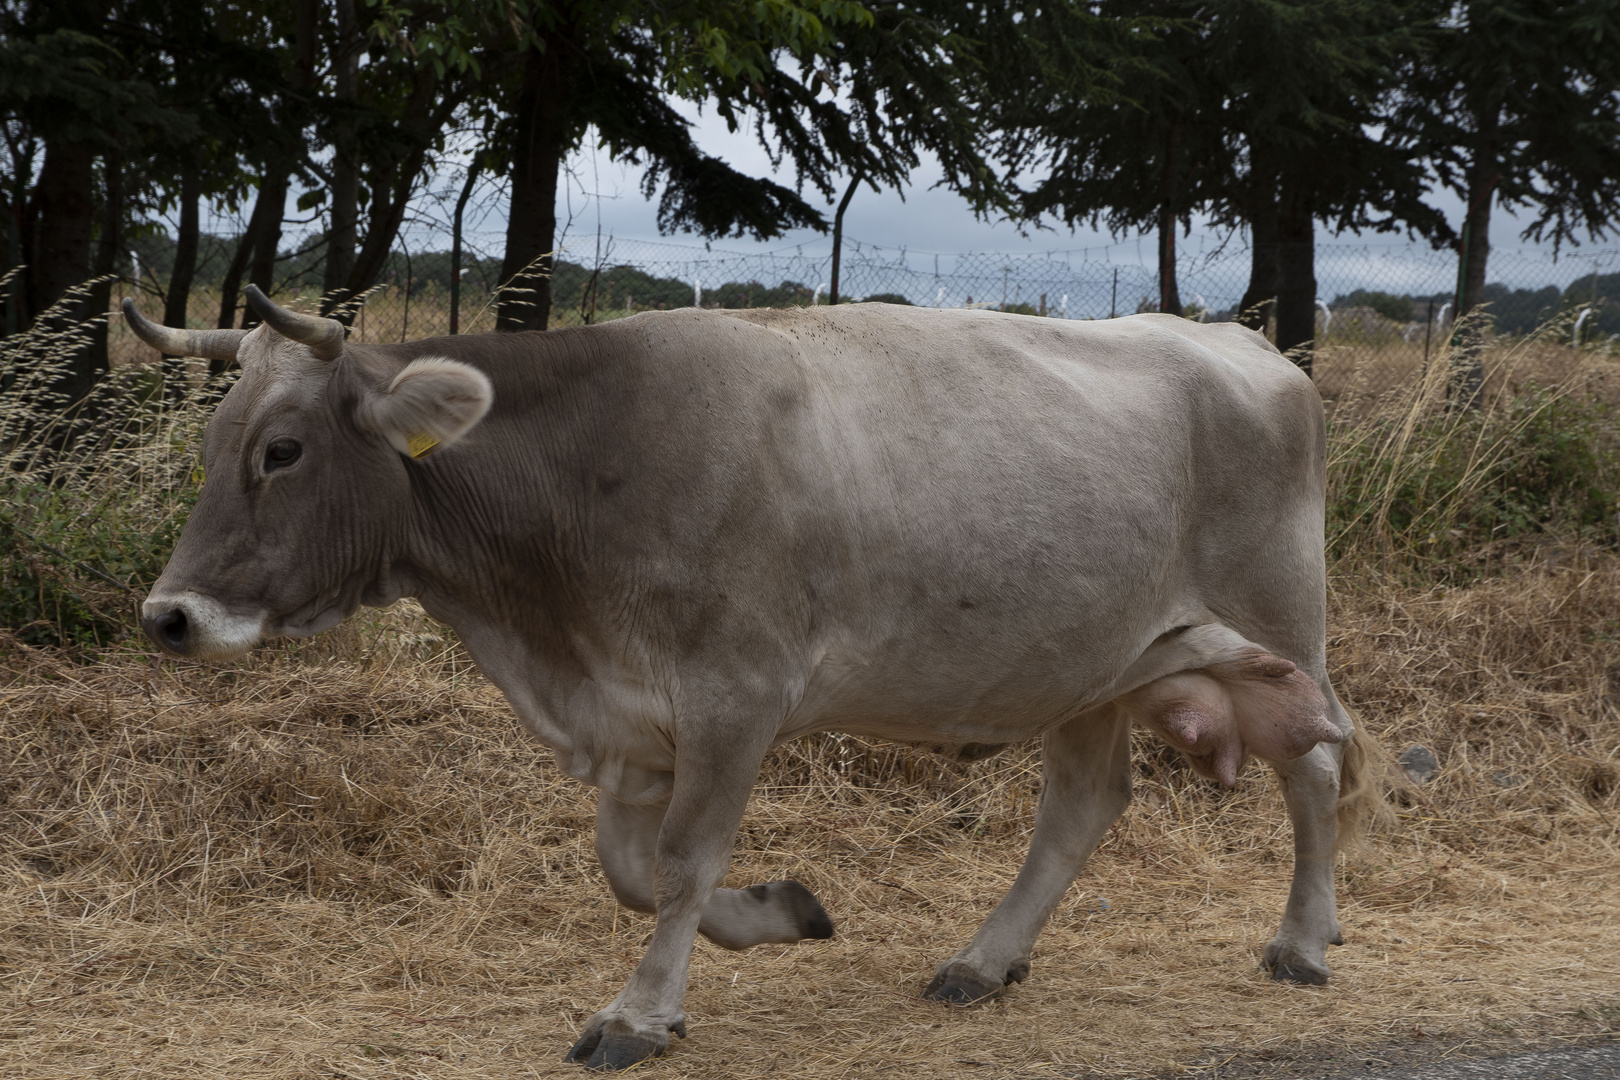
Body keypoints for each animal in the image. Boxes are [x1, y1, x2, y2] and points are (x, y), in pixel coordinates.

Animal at [129, 286, 1367, 1075]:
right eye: (213, 447)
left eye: (282, 450)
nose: (168, 618)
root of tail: (1257, 353)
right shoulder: (631, 717)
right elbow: (631, 869)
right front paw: (778, 912)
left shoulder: (736, 693)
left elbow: (678, 864)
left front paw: (638, 1016)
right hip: (1092, 663)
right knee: (1082, 803)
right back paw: (984, 959)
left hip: (1280, 625)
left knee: (1313, 774)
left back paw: (1303, 944)